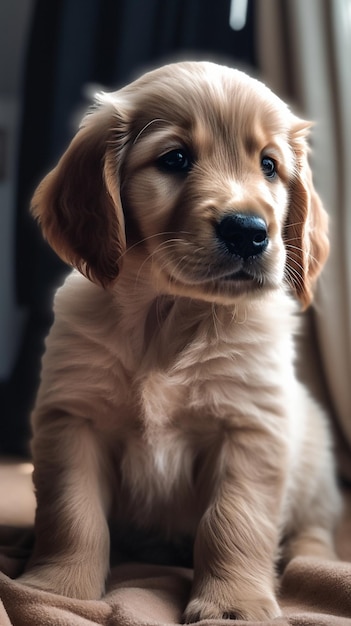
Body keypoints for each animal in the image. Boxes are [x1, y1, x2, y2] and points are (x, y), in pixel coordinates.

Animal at [19, 63, 340, 620]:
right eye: (175, 159)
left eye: (269, 166)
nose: (248, 231)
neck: (170, 315)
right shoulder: (73, 417)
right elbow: (72, 513)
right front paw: (58, 589)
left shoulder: (249, 428)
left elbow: (233, 521)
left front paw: (233, 605)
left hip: (315, 457)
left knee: (314, 527)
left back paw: (309, 558)